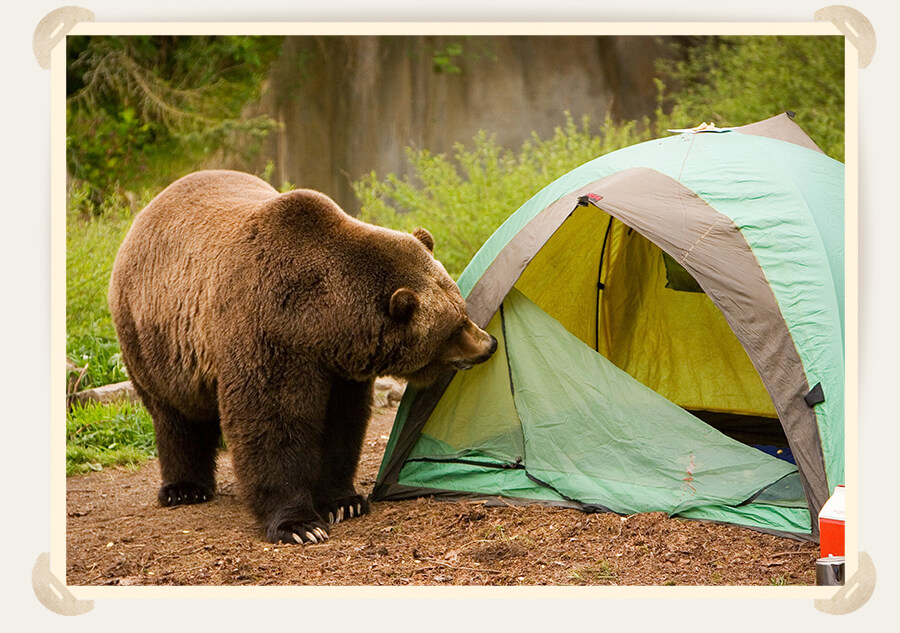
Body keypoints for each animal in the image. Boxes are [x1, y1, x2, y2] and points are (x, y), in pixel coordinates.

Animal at [110, 169, 500, 544]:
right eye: (455, 326)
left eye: (463, 309)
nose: (489, 343)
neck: (320, 321)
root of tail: (149, 209)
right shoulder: (267, 333)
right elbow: (272, 423)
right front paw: (300, 524)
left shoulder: (339, 367)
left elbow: (341, 424)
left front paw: (343, 502)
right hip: (154, 338)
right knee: (174, 415)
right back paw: (184, 489)